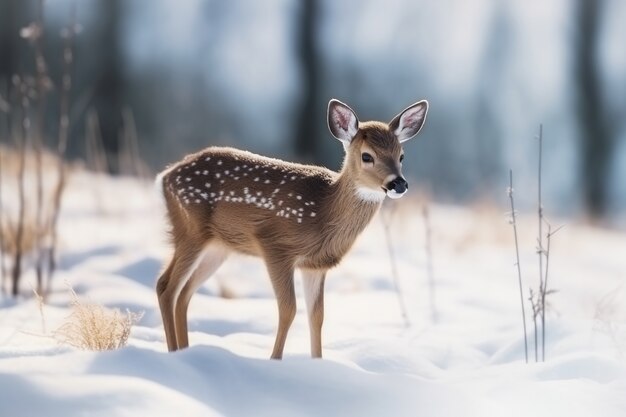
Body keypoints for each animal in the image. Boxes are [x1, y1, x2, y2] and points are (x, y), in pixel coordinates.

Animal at [156, 97, 428, 358]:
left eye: (401, 156)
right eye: (367, 156)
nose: (398, 184)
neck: (323, 210)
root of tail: (166, 176)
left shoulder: (314, 265)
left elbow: (317, 316)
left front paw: (317, 362)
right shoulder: (275, 244)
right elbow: (288, 309)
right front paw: (275, 361)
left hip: (219, 246)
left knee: (184, 293)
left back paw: (185, 352)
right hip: (191, 229)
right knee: (166, 287)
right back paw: (173, 353)